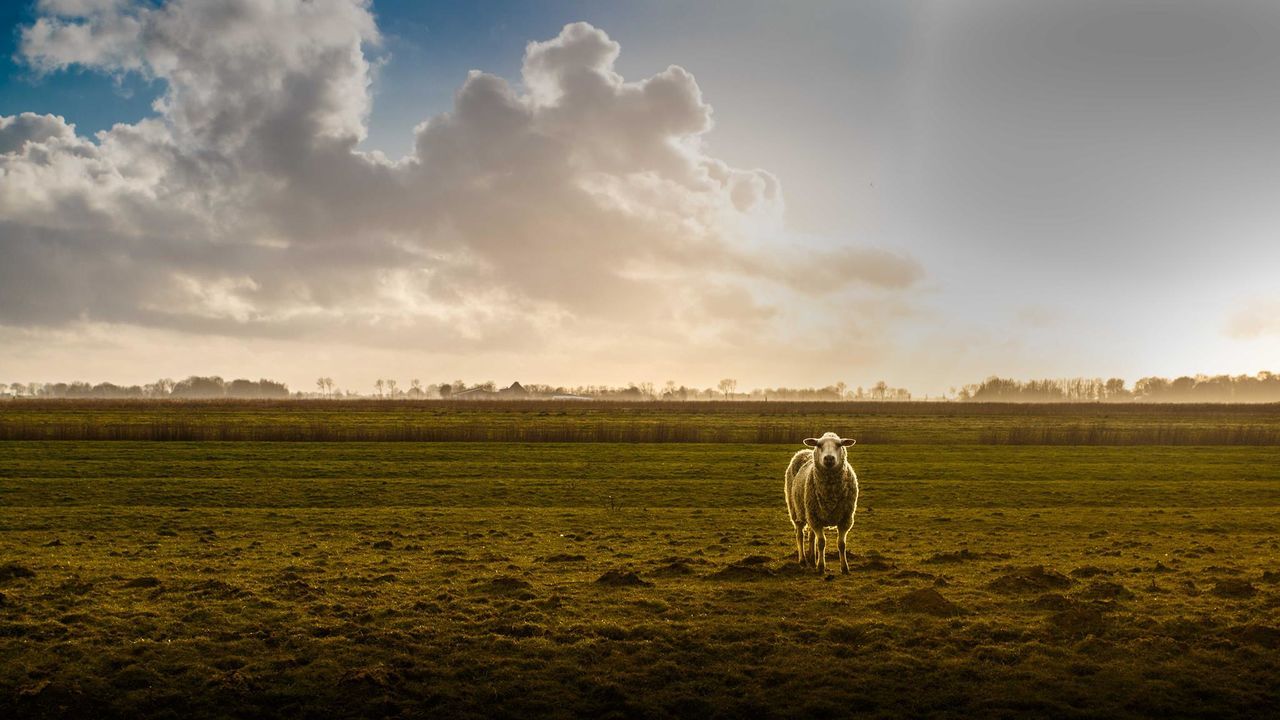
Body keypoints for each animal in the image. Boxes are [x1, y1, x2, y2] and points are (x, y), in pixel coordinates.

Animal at [778, 430, 860, 571]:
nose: (829, 458)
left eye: (839, 445)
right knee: (800, 535)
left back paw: (812, 558)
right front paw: (821, 567)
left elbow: (841, 544)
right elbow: (821, 542)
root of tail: (804, 451)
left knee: (811, 536)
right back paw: (803, 560)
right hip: (797, 511)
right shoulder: (816, 519)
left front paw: (844, 567)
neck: (830, 494)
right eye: (819, 445)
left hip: (810, 513)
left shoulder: (845, 519)